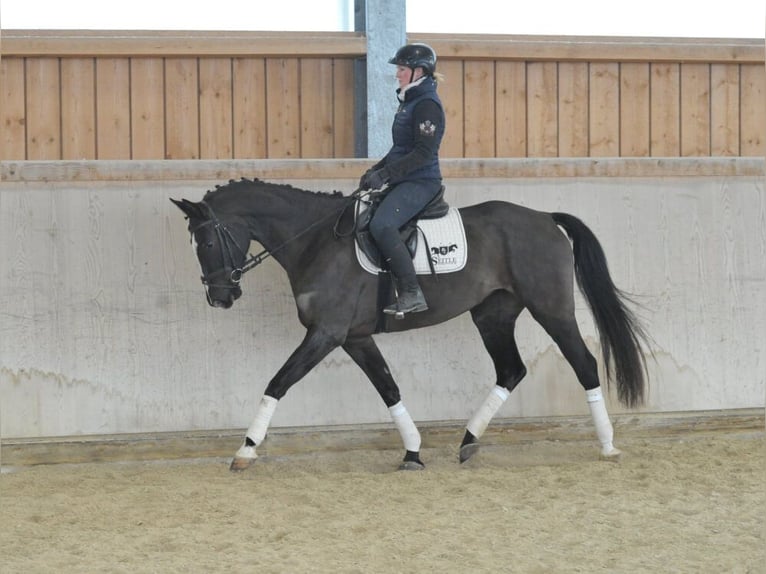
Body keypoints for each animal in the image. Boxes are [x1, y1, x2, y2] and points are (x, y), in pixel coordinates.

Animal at [171, 178, 650, 472]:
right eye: (193, 244)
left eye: (207, 242)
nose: (220, 297)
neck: (315, 241)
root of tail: (545, 217)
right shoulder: (355, 337)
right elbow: (389, 389)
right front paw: (414, 451)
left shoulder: (326, 333)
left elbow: (277, 382)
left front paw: (245, 450)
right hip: (493, 314)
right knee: (511, 371)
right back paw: (468, 441)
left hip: (551, 310)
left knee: (584, 364)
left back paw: (608, 446)